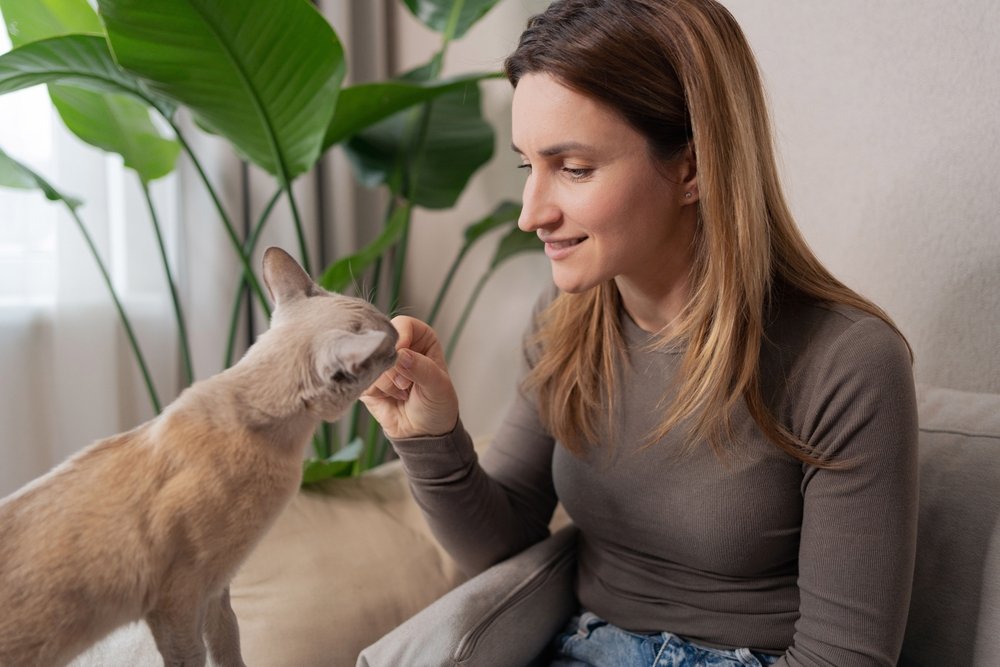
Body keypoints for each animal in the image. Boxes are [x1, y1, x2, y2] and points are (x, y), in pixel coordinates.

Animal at [0, 249, 398, 667]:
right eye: (386, 348)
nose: (401, 334)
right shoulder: (179, 601)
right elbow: (194, 656)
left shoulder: (216, 589)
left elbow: (228, 646)